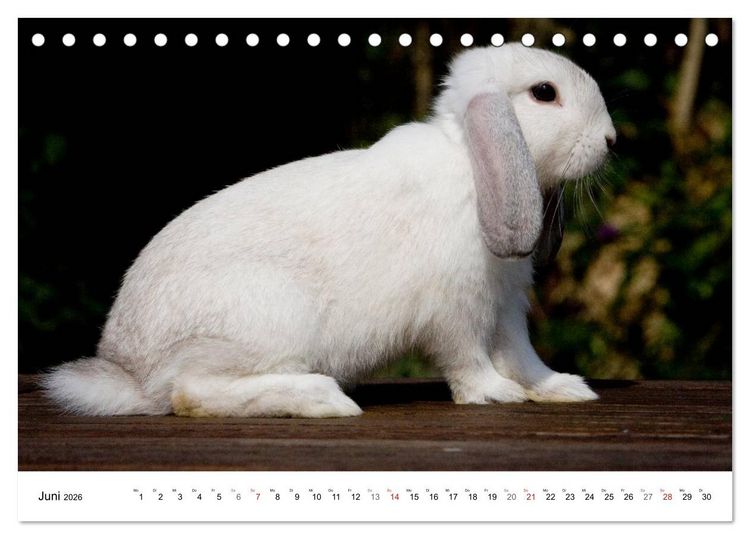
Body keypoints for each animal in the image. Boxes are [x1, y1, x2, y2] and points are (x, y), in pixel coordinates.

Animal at [41, 43, 616, 418]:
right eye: (544, 93)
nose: (610, 140)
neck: (471, 166)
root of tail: (132, 373)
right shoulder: (456, 309)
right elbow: (467, 359)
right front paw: (494, 395)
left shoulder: (506, 303)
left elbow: (522, 355)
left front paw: (562, 388)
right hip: (268, 317)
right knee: (189, 393)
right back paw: (324, 398)